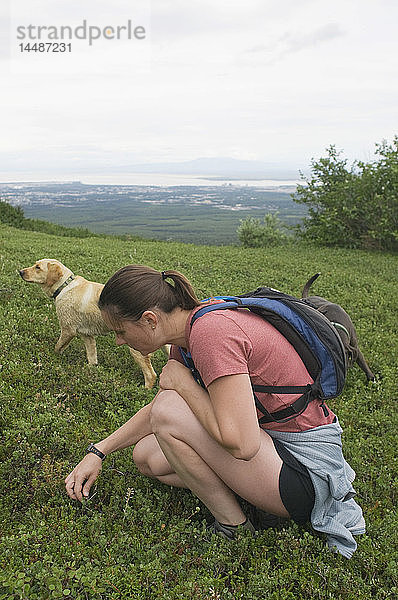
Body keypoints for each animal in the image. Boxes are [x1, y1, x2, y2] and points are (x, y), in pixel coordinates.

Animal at [19, 258, 168, 390]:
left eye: (38, 267)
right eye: (35, 265)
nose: (20, 271)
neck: (65, 286)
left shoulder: (67, 330)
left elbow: (58, 347)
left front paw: (53, 358)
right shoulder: (87, 336)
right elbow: (92, 357)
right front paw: (91, 373)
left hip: (137, 346)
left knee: (151, 375)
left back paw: (144, 391)